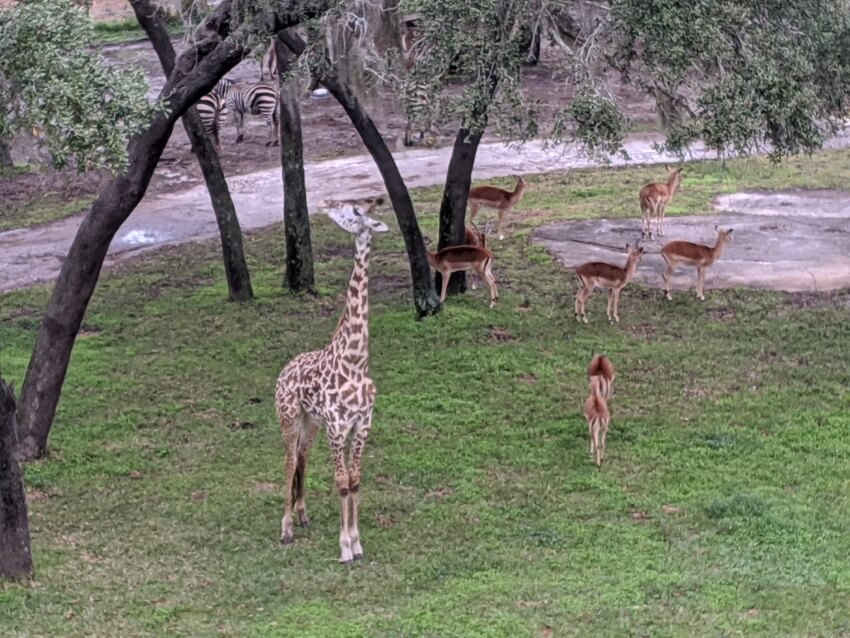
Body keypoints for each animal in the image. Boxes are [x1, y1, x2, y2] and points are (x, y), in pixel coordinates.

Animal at [274, 194, 388, 564]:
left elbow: (354, 480)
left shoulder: (361, 424)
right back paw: (286, 529)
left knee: (302, 457)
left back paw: (302, 515)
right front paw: (345, 547)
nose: (328, 207)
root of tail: (284, 370)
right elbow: (340, 482)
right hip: (289, 416)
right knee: (288, 460)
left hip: (311, 421)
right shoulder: (337, 428)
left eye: (355, 211)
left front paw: (357, 542)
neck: (355, 362)